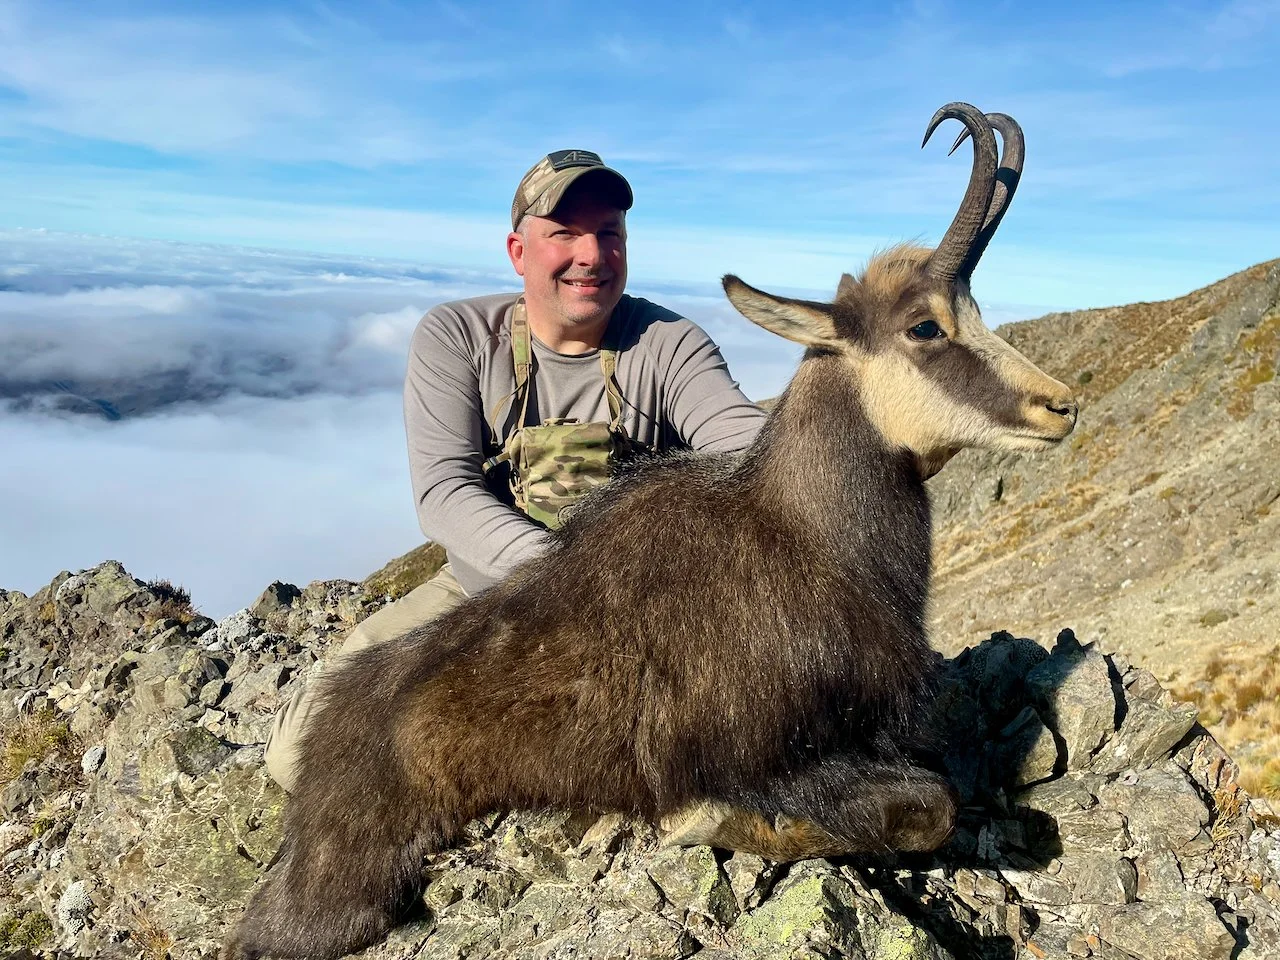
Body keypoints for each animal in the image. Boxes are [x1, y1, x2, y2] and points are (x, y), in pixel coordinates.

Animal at [225, 102, 1078, 960]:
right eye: (925, 328)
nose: (1061, 406)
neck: (810, 541)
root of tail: (331, 726)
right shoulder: (762, 751)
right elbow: (924, 805)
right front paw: (720, 821)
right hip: (349, 877)